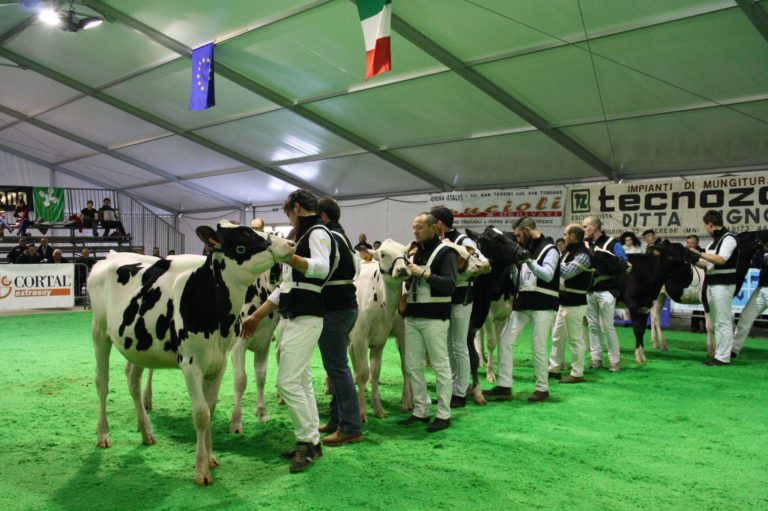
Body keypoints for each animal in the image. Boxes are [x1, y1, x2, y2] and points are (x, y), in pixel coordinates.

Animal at [89, 222, 294, 486]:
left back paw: (146, 431)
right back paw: (104, 434)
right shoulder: (191, 364)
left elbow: (212, 406)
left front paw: (211, 457)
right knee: (102, 383)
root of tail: (113, 255)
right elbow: (202, 413)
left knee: (132, 380)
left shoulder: (220, 361)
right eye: (245, 236)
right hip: (100, 332)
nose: (290, 244)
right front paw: (201, 470)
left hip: (138, 346)